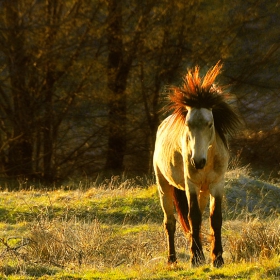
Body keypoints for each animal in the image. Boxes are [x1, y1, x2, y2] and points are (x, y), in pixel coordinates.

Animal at [154, 62, 240, 268]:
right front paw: (195, 258)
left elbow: (214, 218)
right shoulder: (190, 184)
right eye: (188, 124)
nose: (197, 161)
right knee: (170, 222)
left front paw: (217, 258)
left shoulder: (217, 184)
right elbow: (192, 217)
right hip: (164, 185)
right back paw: (172, 259)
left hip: (203, 190)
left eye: (210, 124)